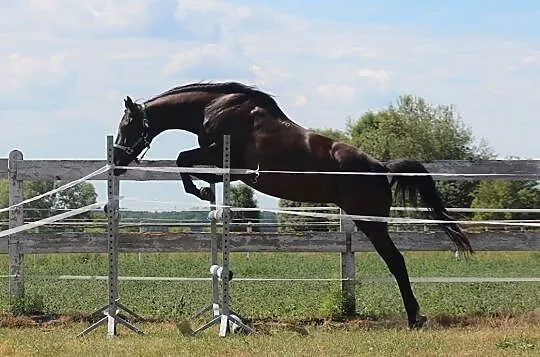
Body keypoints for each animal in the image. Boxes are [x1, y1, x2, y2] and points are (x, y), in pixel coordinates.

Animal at [114, 82, 472, 326]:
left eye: (125, 125)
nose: (116, 162)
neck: (214, 108)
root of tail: (381, 169)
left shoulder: (222, 155)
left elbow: (182, 159)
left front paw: (200, 191)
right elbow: (190, 164)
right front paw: (205, 190)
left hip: (370, 222)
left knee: (396, 261)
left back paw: (414, 317)